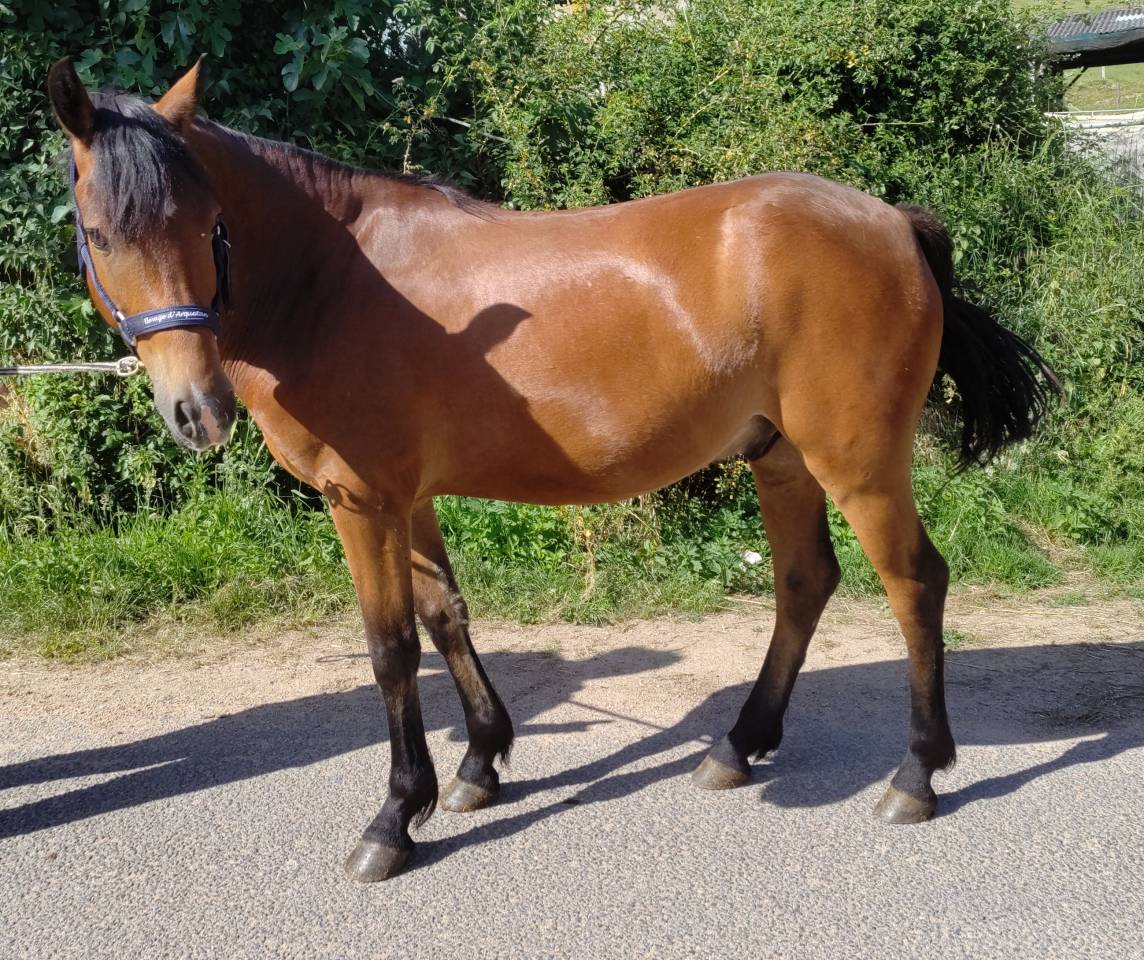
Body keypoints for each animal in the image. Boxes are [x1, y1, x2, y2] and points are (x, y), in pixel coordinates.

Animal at [46, 57, 1057, 883]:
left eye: (210, 224)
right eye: (99, 232)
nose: (198, 411)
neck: (332, 282)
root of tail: (893, 221)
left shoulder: (361, 501)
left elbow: (390, 648)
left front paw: (394, 818)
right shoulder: (408, 499)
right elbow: (445, 617)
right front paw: (478, 765)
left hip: (858, 462)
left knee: (914, 583)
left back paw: (916, 774)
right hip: (781, 459)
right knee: (806, 582)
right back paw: (737, 745)